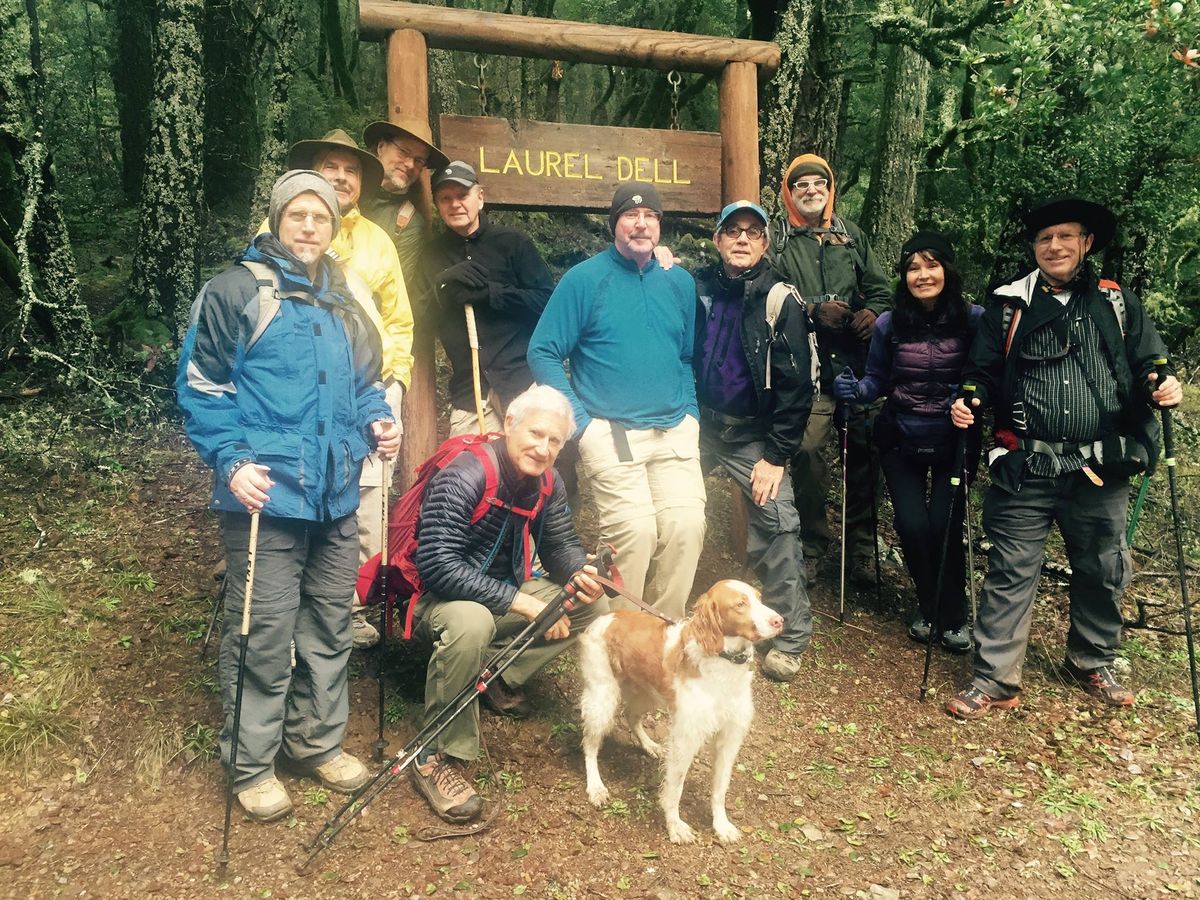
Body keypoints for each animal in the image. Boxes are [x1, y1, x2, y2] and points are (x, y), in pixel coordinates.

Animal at [576, 580, 782, 844]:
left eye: (759, 598)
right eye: (740, 604)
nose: (779, 620)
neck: (722, 664)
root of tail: (605, 617)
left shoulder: (729, 737)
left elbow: (720, 789)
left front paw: (721, 825)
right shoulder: (686, 737)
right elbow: (675, 788)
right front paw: (675, 826)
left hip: (647, 694)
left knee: (630, 716)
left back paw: (649, 745)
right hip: (602, 698)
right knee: (590, 745)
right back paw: (596, 787)